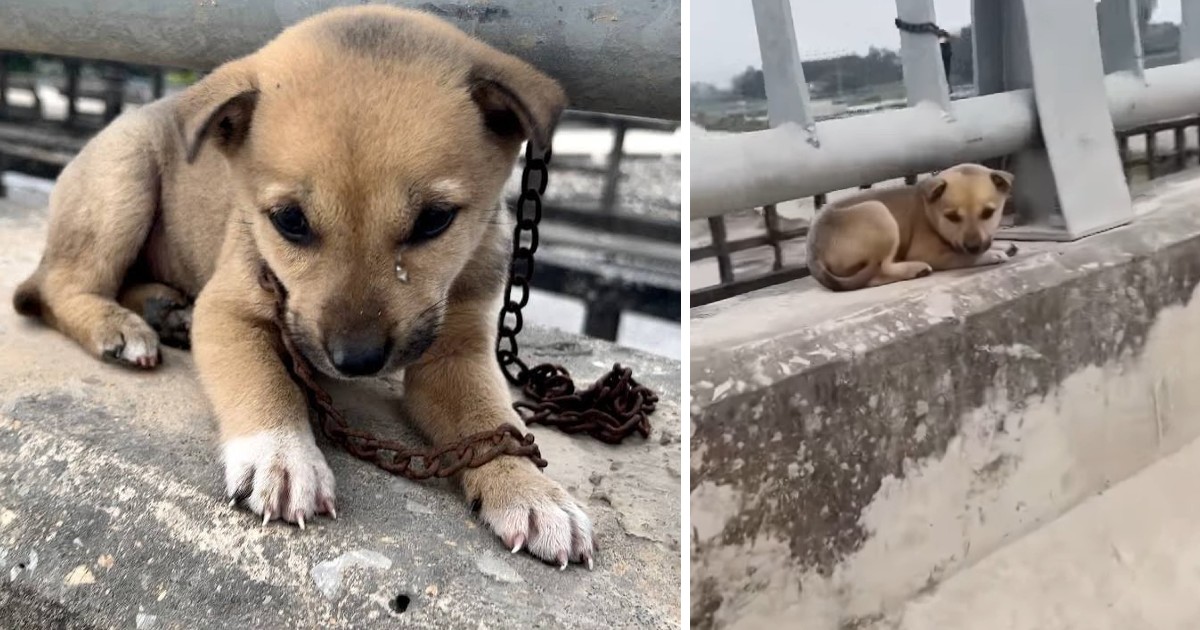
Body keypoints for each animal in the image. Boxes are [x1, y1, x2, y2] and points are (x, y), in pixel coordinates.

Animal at [14, 4, 595, 566]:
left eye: (434, 221)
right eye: (289, 221)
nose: (356, 362)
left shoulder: (458, 354)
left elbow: (488, 422)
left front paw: (531, 491)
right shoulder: (227, 311)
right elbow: (266, 379)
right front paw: (281, 455)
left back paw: (164, 310)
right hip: (123, 181)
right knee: (58, 285)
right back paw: (118, 327)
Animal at [806, 160, 1012, 291]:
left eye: (988, 213)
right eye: (952, 216)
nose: (973, 246)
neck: (930, 212)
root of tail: (815, 252)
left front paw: (1001, 245)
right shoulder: (932, 254)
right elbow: (962, 256)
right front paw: (991, 254)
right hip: (879, 213)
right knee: (882, 270)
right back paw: (915, 269)